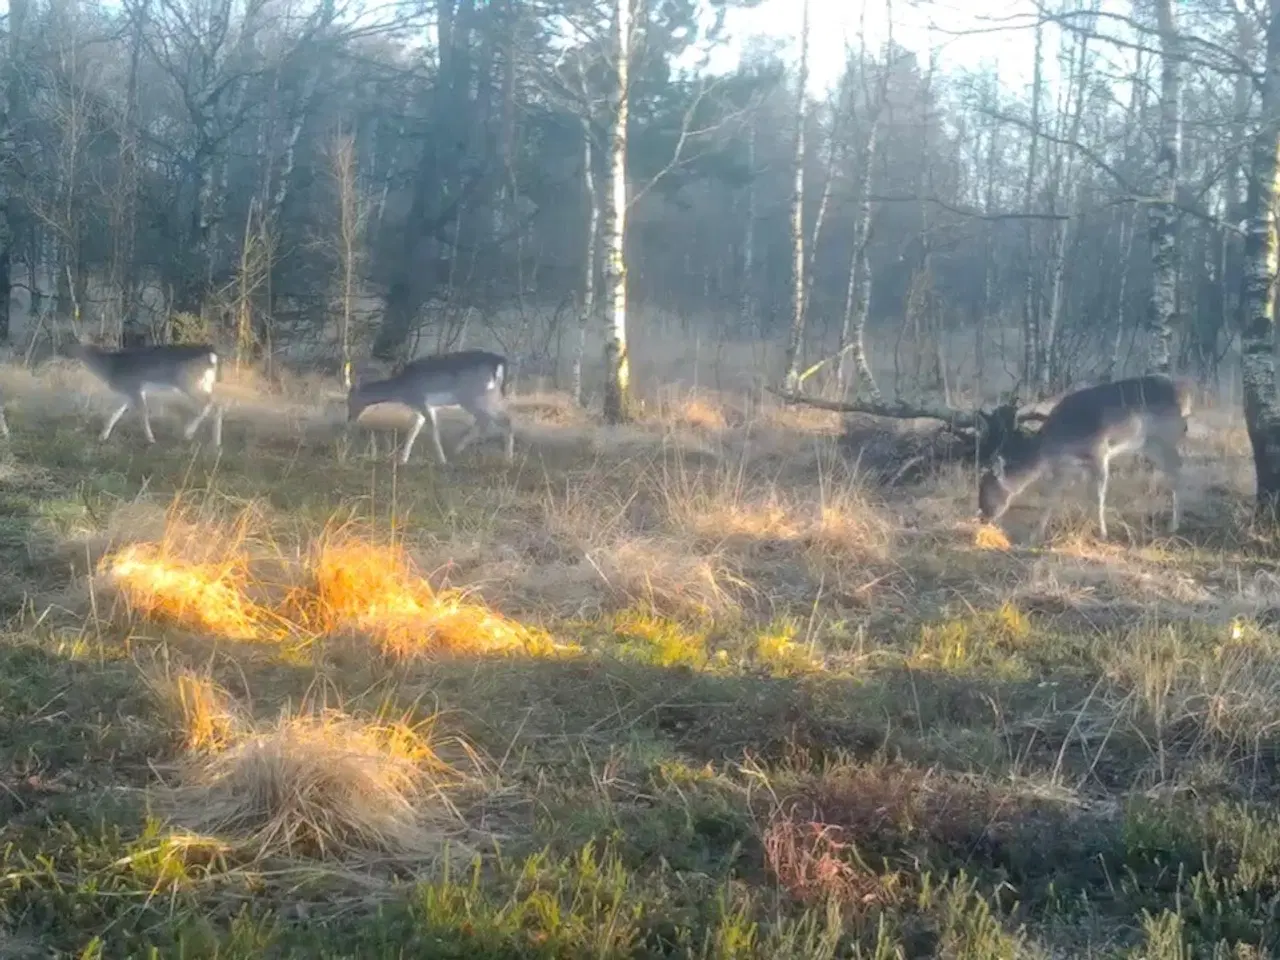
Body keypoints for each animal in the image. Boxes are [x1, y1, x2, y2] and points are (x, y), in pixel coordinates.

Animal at [64, 340, 224, 450]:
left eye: (69, 345)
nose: (62, 352)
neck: (110, 368)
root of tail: (212, 356)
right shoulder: (128, 392)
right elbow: (115, 413)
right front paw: (102, 436)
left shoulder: (135, 388)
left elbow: (143, 413)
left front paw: (151, 439)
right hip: (205, 383)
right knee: (217, 404)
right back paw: (215, 443)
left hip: (189, 383)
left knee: (209, 403)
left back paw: (188, 432)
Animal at [350, 348, 514, 468]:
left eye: (349, 399)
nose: (350, 417)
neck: (401, 390)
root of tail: (499, 361)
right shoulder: (421, 409)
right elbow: (413, 432)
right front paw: (403, 460)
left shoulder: (422, 402)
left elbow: (433, 431)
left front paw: (441, 460)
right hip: (490, 396)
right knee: (491, 420)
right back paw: (458, 450)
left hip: (474, 396)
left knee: (501, 419)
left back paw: (507, 459)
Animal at [977, 373, 1187, 542]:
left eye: (988, 488)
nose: (983, 516)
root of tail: (1187, 397)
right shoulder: (1065, 466)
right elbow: (1053, 496)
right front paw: (1036, 534)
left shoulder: (1099, 451)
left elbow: (1098, 495)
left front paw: (1102, 533)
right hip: (1150, 444)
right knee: (1172, 470)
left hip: (1167, 437)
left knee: (1178, 468)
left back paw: (1174, 525)